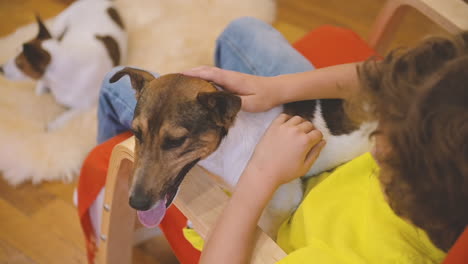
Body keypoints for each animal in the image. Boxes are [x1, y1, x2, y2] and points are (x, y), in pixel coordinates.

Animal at [0, 0, 127, 130]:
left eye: (19, 64)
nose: (1, 68)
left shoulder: (86, 106)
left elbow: (66, 116)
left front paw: (53, 125)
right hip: (58, 25)